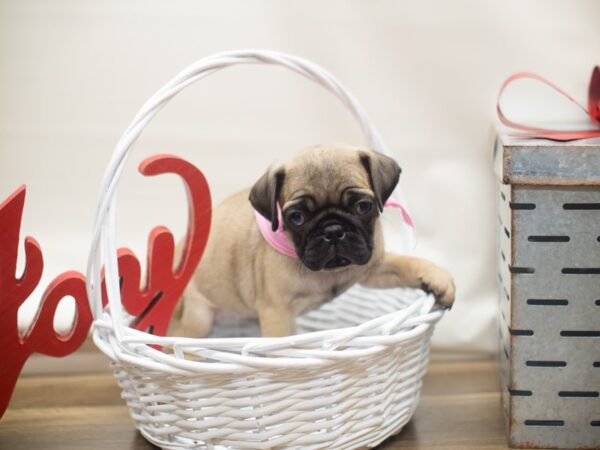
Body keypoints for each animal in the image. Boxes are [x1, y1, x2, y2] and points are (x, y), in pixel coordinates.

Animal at [169, 144, 454, 338]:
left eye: (363, 206)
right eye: (296, 217)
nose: (333, 230)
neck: (329, 272)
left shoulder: (372, 269)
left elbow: (405, 263)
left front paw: (437, 278)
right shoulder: (278, 313)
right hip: (199, 319)